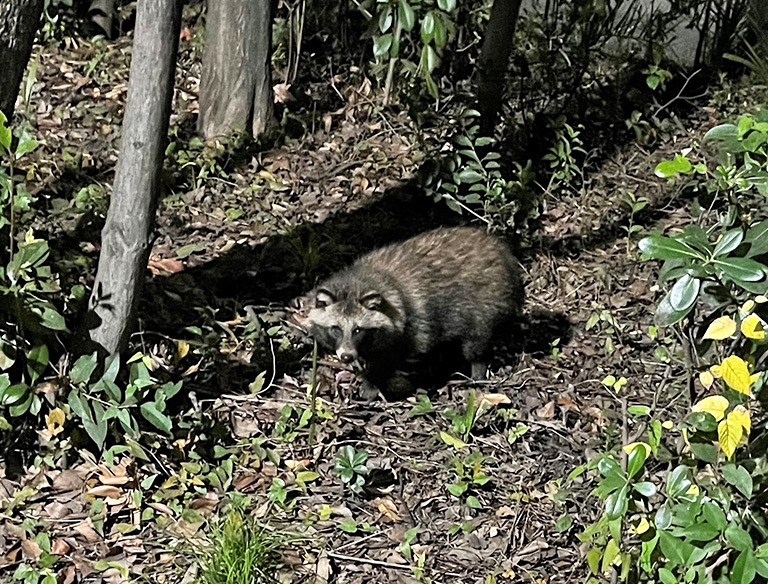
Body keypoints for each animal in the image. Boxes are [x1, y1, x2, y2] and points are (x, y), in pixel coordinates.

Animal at [296, 227, 524, 396]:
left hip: (486, 300)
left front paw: (374, 384)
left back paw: (477, 371)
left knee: (475, 342)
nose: (346, 357)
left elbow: (398, 358)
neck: (358, 281)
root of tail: (501, 250)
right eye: (335, 328)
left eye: (358, 330)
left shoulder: (414, 327)